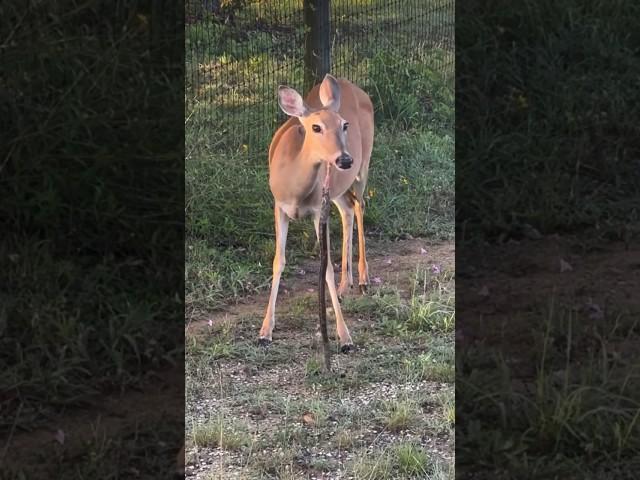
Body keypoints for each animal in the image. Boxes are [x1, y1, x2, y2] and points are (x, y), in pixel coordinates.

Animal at [256, 74, 372, 352]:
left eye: (344, 125)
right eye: (316, 127)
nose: (344, 159)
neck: (296, 190)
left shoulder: (319, 209)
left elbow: (326, 266)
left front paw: (345, 337)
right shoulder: (279, 206)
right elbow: (278, 261)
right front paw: (265, 331)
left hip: (363, 166)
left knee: (360, 205)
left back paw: (363, 279)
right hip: (338, 188)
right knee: (348, 208)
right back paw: (344, 285)